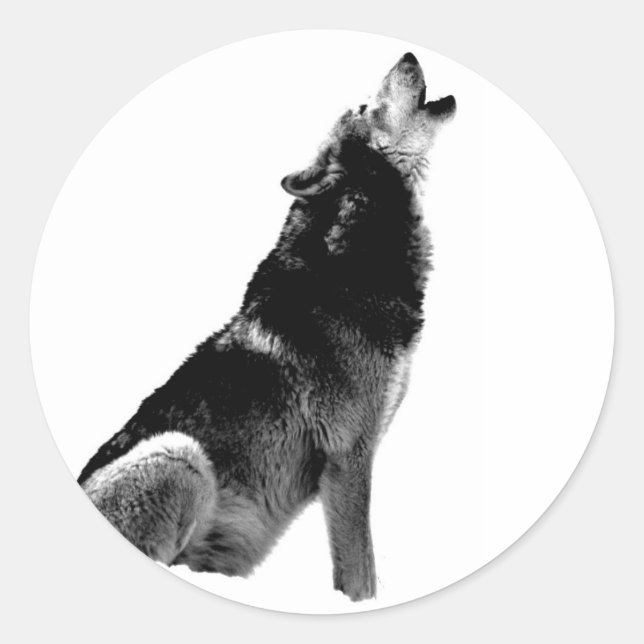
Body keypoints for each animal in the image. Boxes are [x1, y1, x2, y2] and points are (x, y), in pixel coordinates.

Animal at [78, 52, 455, 601]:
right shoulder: (348, 456)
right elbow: (360, 574)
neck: (353, 261)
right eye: (364, 106)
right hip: (180, 456)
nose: (407, 55)